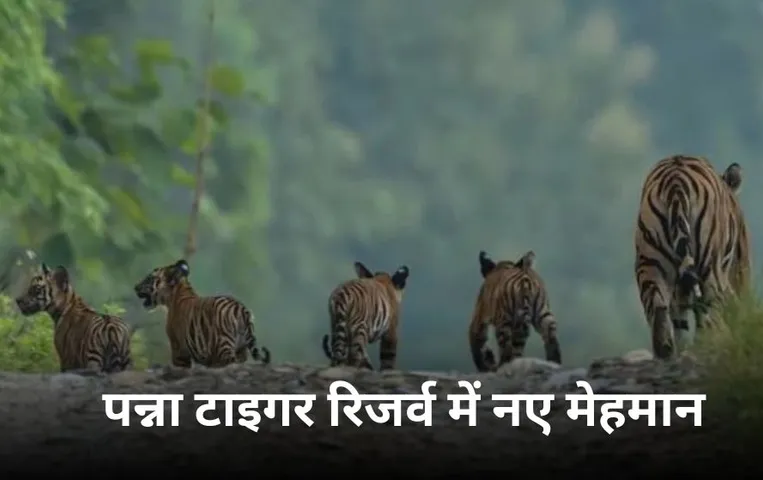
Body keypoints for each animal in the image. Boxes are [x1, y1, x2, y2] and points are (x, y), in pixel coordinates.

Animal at [133, 259, 270, 368]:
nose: (135, 287)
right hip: (241, 349)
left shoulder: (178, 350)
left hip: (223, 347)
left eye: (149, 278)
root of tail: (241, 309)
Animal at [634, 155, 751, 359]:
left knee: (658, 307)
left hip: (649, 264)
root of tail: (676, 182)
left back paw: (666, 351)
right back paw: (711, 347)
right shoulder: (738, 268)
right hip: (710, 269)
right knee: (711, 312)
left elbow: (680, 319)